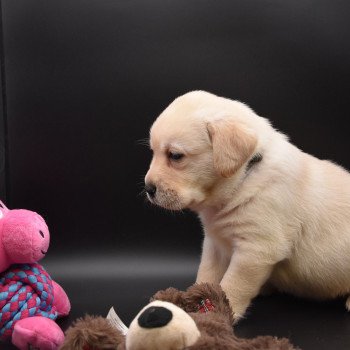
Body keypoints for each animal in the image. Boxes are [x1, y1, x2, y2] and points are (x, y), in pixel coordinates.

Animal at [145, 91, 350, 322]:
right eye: (153, 152)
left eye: (175, 155)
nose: (148, 188)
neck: (244, 176)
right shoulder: (214, 244)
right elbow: (207, 274)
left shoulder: (256, 249)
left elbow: (233, 285)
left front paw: (222, 312)